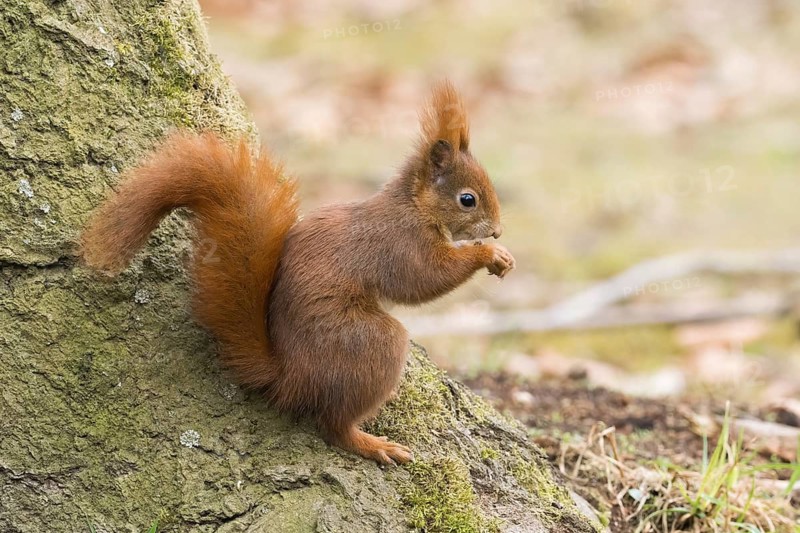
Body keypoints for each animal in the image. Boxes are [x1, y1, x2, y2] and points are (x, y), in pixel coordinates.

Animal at [81, 81, 515, 465]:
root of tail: (290, 376)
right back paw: (372, 444)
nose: (497, 230)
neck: (414, 207)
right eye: (467, 199)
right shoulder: (399, 244)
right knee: (334, 425)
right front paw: (489, 254)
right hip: (368, 343)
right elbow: (424, 279)